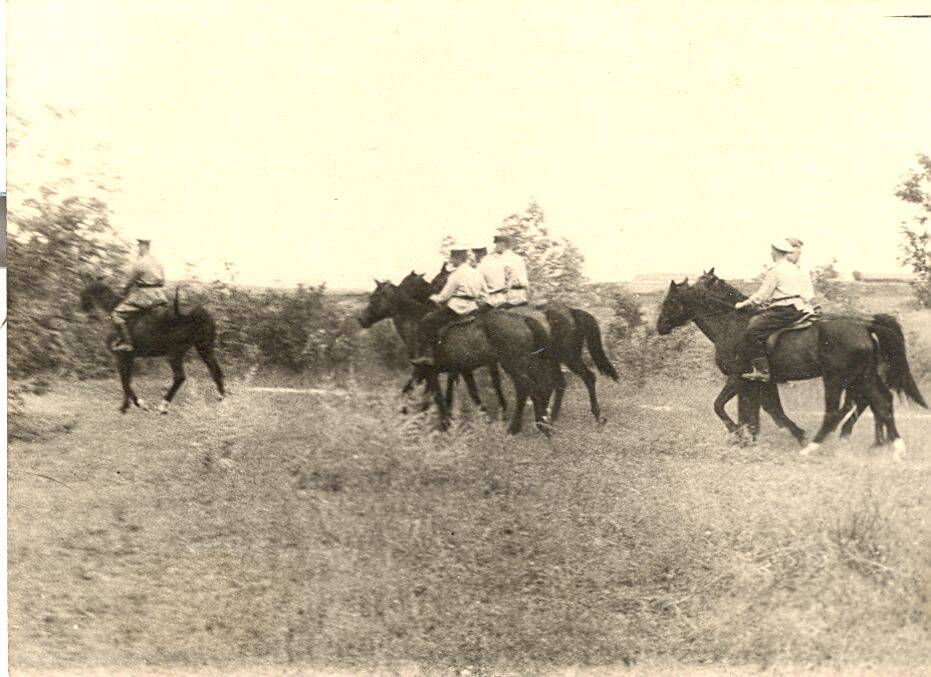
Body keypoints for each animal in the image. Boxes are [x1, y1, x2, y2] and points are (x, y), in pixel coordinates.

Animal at [78, 278, 226, 414]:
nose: (83, 312)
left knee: (179, 377)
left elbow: (124, 381)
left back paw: (163, 406)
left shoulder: (121, 357)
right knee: (215, 370)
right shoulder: (127, 358)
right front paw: (126, 406)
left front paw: (138, 404)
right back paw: (221, 398)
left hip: (174, 354)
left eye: (84, 292)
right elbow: (127, 380)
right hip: (204, 349)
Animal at [356, 278, 560, 434]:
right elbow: (467, 393)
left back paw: (528, 427)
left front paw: (443, 425)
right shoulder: (459, 369)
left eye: (374, 297)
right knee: (534, 388)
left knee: (528, 389)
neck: (416, 322)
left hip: (515, 364)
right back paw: (535, 423)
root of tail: (526, 318)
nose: (361, 319)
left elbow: (432, 395)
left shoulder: (427, 371)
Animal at [422, 264, 620, 422]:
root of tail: (570, 311)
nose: (433, 299)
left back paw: (588, 415)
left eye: (438, 281)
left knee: (582, 378)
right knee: (561, 382)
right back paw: (553, 415)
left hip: (566, 356)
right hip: (555, 359)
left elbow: (490, 383)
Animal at [660, 276, 928, 460]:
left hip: (837, 379)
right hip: (863, 377)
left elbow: (722, 406)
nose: (660, 326)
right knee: (880, 404)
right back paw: (892, 447)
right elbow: (768, 409)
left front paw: (739, 433)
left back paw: (816, 447)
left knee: (838, 411)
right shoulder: (762, 381)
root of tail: (866, 325)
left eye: (670, 300)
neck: (731, 325)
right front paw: (756, 436)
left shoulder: (738, 378)